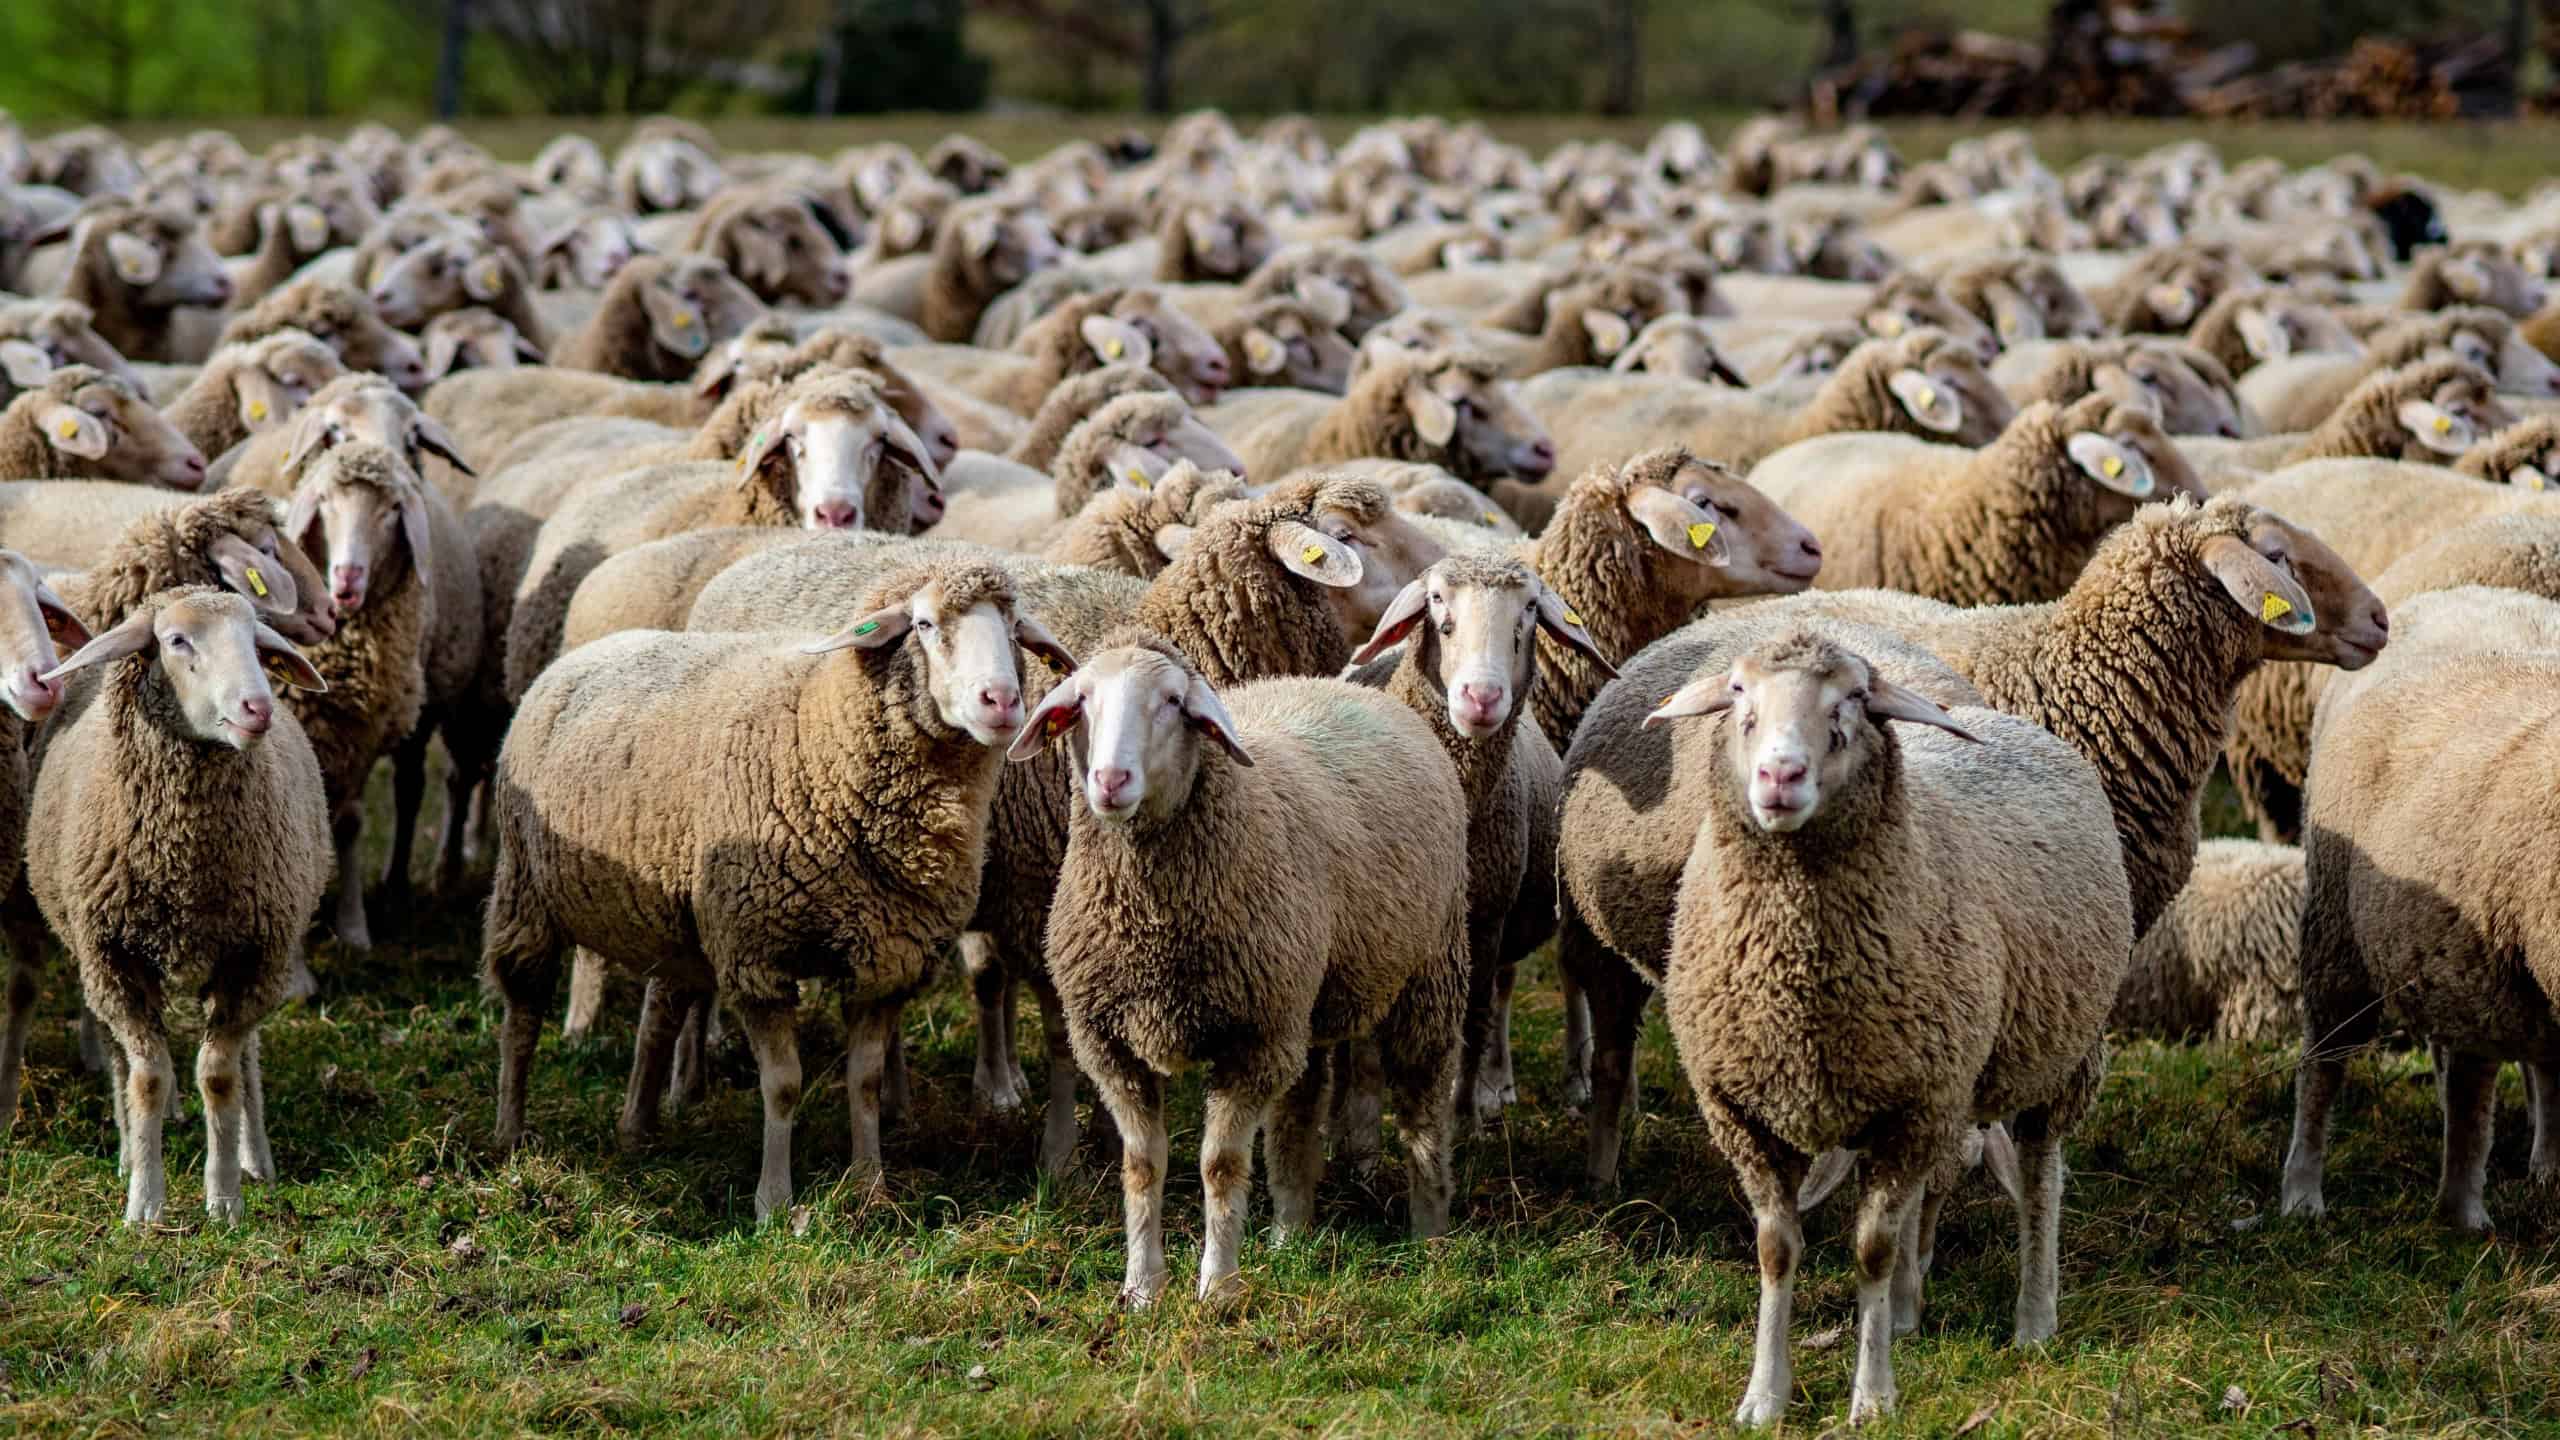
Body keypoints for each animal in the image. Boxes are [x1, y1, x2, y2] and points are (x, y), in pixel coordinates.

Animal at [26, 586, 330, 1222]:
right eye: (176, 641)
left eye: (257, 643)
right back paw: (124, 1152)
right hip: (99, 966)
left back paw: (255, 1155)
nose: (257, 708)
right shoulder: (114, 957)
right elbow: (148, 1078)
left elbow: (219, 1076)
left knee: (247, 1059)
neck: (183, 866)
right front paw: (145, 1202)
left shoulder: (253, 955)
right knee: (120, 1058)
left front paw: (226, 1197)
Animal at [483, 555, 1070, 1220]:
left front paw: (870, 1187)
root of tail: (591, 649)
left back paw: (637, 1127)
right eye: (922, 623)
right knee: (522, 1013)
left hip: (678, 923)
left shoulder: (885, 958)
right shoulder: (756, 954)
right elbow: (783, 1085)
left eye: (1015, 627)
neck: (824, 734)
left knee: (659, 1014)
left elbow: (865, 1080)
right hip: (526, 892)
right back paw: (511, 1134)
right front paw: (774, 1201)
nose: (1002, 700)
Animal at [1006, 633, 1469, 1304]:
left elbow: (1220, 1165)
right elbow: (1141, 1167)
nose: (1111, 780)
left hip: (1428, 974)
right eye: (1081, 700)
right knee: (1299, 1106)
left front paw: (1217, 1288)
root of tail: (1335, 684)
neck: (1152, 927)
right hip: (1302, 1002)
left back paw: (1430, 1233)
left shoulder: (1249, 1041)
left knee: (1423, 1107)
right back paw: (1289, 1233)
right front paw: (1142, 1290)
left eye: (1173, 702)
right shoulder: (1111, 1046)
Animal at [1638, 629, 2131, 1425]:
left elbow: (1870, 1248)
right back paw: (1906, 1309)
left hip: (2060, 1055)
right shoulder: (1745, 1114)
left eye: (1854, 699)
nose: (1780, 773)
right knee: (1932, 1190)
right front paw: (1765, 1396)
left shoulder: (1910, 1105)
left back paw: (2033, 1320)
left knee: (2039, 1178)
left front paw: (1872, 1397)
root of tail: (1996, 717)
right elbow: (1777, 1250)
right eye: (1739, 692)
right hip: (1947, 1082)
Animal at [2284, 585, 2560, 1232]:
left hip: (2473, 953)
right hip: (2345, 929)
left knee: (2490, 1072)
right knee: (2325, 1065)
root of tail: (2461, 592)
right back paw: (2305, 1195)